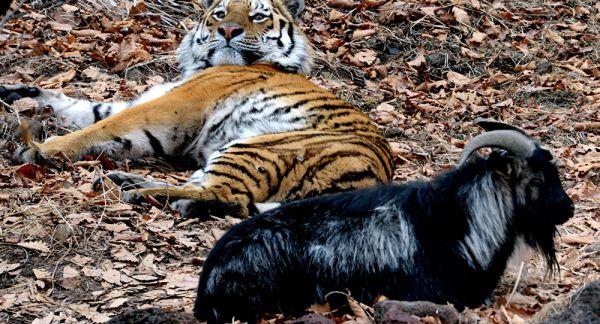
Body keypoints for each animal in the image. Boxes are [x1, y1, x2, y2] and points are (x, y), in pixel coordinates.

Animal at [2, 0, 396, 219]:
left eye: (258, 16)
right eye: (220, 13)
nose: (228, 30)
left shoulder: (174, 104)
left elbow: (97, 127)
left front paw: (37, 150)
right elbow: (77, 106)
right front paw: (16, 92)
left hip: (258, 146)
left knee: (227, 197)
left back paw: (141, 193)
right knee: (209, 188)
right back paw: (128, 180)